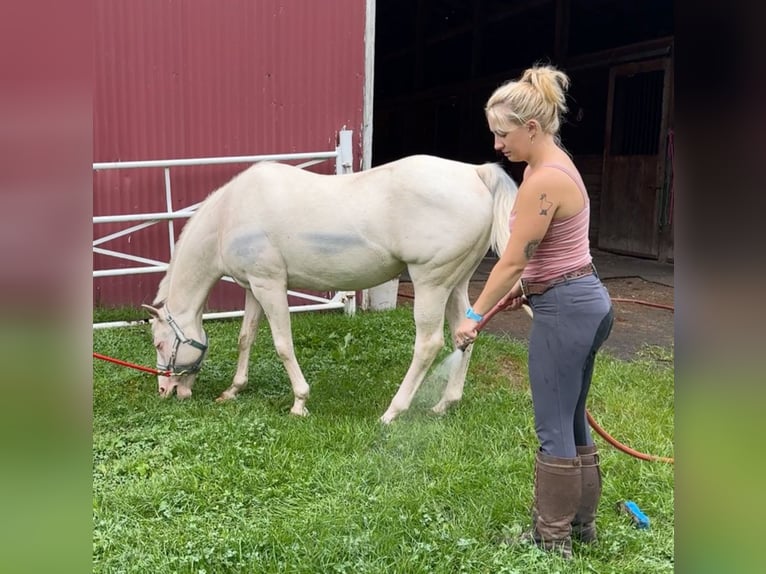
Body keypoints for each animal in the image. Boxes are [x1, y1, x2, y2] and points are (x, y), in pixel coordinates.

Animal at [142, 155, 520, 426]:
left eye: (160, 343)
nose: (165, 390)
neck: (229, 215)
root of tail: (475, 173)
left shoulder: (271, 286)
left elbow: (282, 344)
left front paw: (299, 402)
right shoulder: (254, 287)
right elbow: (245, 337)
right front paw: (233, 390)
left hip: (431, 283)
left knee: (429, 344)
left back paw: (391, 412)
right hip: (456, 283)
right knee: (463, 336)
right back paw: (444, 404)